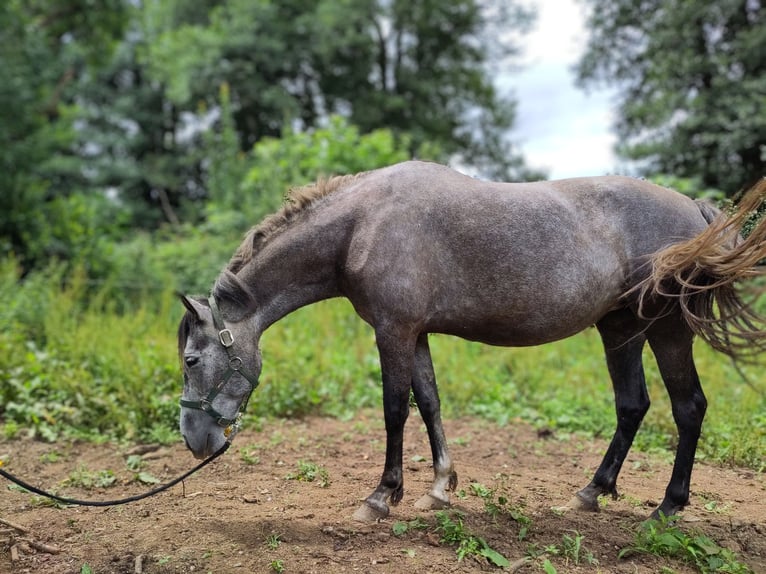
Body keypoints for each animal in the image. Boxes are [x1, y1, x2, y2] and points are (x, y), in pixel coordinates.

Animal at [176, 161, 766, 520]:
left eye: (190, 359)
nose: (194, 441)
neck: (361, 225)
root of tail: (695, 208)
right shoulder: (414, 334)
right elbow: (430, 402)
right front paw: (439, 486)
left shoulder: (393, 332)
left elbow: (395, 409)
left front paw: (382, 495)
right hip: (620, 329)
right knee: (632, 405)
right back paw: (592, 491)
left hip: (667, 332)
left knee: (688, 408)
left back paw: (668, 507)